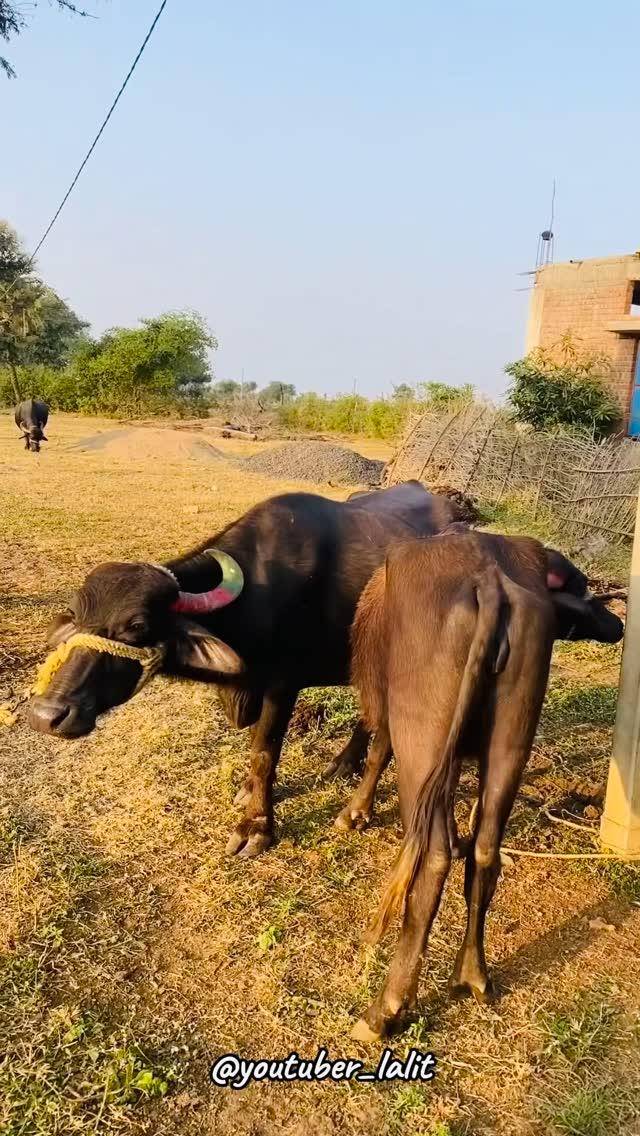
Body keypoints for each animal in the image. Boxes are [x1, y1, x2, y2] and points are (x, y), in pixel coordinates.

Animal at [28, 483, 461, 854]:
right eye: (76, 615)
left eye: (137, 626)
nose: (47, 715)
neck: (260, 592)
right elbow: (255, 745)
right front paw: (248, 790)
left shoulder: (283, 685)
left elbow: (264, 752)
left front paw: (256, 826)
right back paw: (342, 764)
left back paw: (355, 809)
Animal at [347, 527, 622, 1040]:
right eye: (583, 590)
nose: (616, 623)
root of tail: (489, 579)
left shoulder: (391, 714)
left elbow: (377, 751)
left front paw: (354, 813)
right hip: (511, 742)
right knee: (485, 849)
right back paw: (472, 975)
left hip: (424, 744)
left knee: (433, 858)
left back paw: (385, 1009)